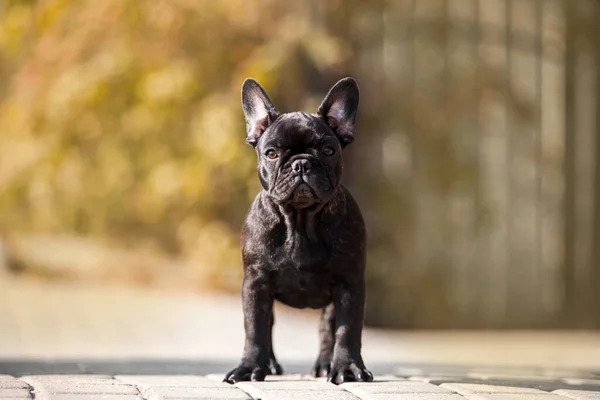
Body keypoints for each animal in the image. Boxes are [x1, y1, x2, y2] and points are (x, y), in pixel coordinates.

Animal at [223, 76, 372, 384]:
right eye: (271, 153)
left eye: (328, 151)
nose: (301, 163)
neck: (300, 222)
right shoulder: (255, 284)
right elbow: (254, 329)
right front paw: (249, 367)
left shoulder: (350, 284)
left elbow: (347, 330)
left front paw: (347, 368)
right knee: (267, 325)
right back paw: (268, 364)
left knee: (327, 328)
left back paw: (326, 364)